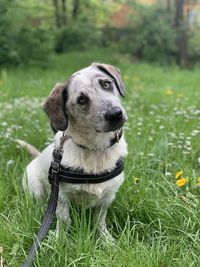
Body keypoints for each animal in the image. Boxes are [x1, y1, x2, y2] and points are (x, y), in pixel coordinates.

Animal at [22, 62, 128, 239]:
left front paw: (106, 239)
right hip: (36, 188)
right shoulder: (60, 197)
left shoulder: (107, 196)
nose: (115, 114)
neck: (95, 149)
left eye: (106, 84)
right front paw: (59, 240)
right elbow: (64, 220)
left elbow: (99, 220)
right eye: (82, 99)